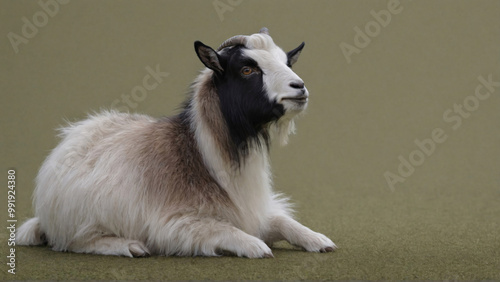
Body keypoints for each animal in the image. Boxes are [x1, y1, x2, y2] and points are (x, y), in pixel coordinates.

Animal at [16, 27, 336, 258]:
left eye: (286, 61)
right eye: (247, 69)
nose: (299, 87)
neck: (203, 157)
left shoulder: (254, 212)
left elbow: (283, 221)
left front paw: (319, 240)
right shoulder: (175, 225)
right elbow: (226, 231)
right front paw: (255, 247)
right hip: (79, 222)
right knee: (76, 241)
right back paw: (128, 246)